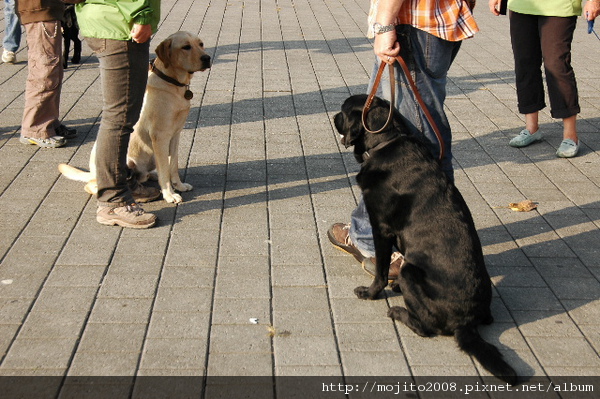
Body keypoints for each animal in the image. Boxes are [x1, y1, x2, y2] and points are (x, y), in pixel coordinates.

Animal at [58, 32, 209, 203]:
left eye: (201, 44)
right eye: (186, 47)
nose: (207, 58)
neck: (173, 84)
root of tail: (91, 172)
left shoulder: (175, 134)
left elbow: (173, 165)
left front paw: (180, 186)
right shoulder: (160, 136)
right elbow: (165, 169)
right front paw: (169, 194)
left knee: (146, 174)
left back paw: (150, 176)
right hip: (126, 161)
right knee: (91, 185)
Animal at [336, 94, 516, 384]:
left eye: (342, 111)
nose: (333, 116)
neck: (388, 141)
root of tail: (465, 322)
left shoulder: (381, 228)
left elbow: (381, 269)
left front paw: (371, 292)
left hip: (411, 272)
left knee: (425, 327)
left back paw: (398, 312)